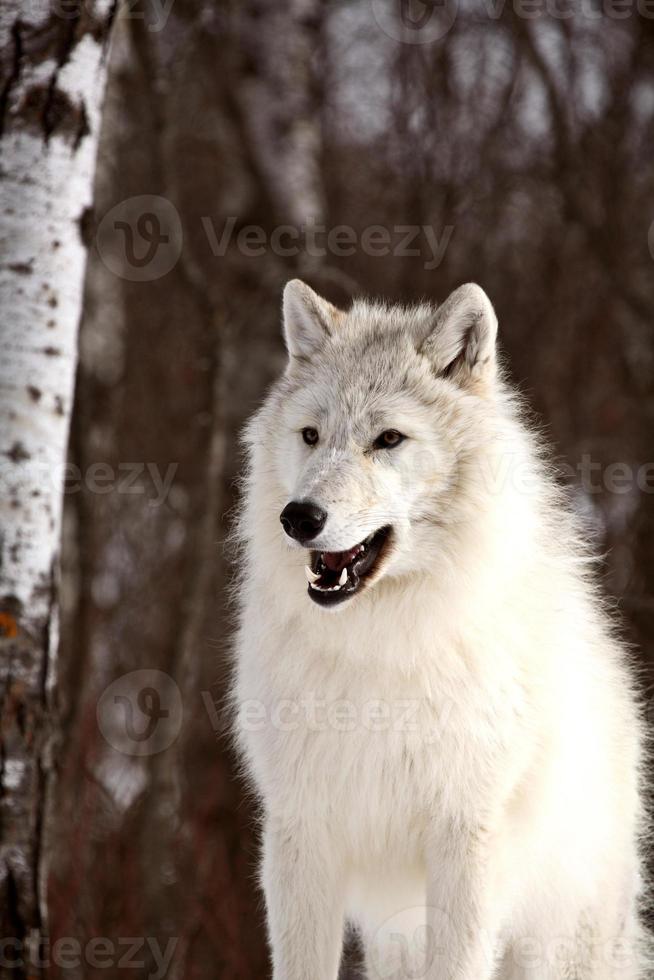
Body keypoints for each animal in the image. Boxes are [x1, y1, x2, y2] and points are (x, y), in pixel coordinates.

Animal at [233, 280, 652, 976]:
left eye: (388, 439)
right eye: (311, 435)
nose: (300, 517)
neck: (378, 648)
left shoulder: (466, 845)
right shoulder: (301, 836)